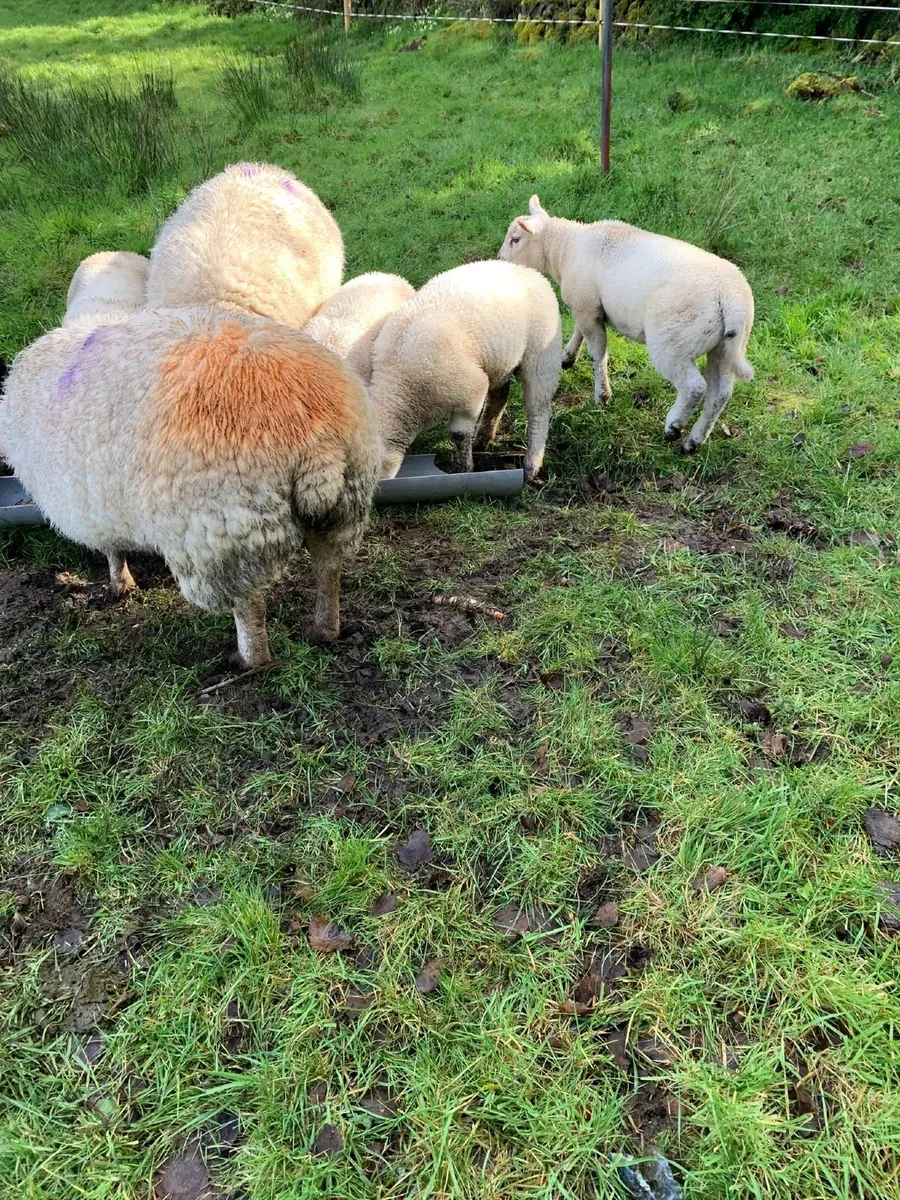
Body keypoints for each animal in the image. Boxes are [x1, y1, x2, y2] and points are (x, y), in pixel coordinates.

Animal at [0, 307, 380, 669]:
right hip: (344, 506)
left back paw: (247, 658)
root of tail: (318, 436)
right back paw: (324, 630)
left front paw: (120, 585)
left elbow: (113, 552)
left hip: (228, 530)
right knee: (329, 569)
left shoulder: (95, 509)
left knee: (249, 604)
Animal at [369, 260, 562, 482]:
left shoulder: (472, 390)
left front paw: (464, 469)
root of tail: (529, 271)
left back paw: (532, 465)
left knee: (539, 411)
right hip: (498, 361)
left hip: (542, 356)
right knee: (500, 395)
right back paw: (482, 440)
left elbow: (459, 435)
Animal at [499, 196, 755, 453]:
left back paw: (673, 427)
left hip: (673, 342)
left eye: (515, 239)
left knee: (695, 387)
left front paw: (602, 396)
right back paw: (694, 441)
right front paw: (568, 356)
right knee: (720, 393)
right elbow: (579, 332)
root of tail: (730, 299)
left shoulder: (588, 308)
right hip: (725, 347)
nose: (500, 260)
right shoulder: (586, 306)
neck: (566, 249)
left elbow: (598, 353)